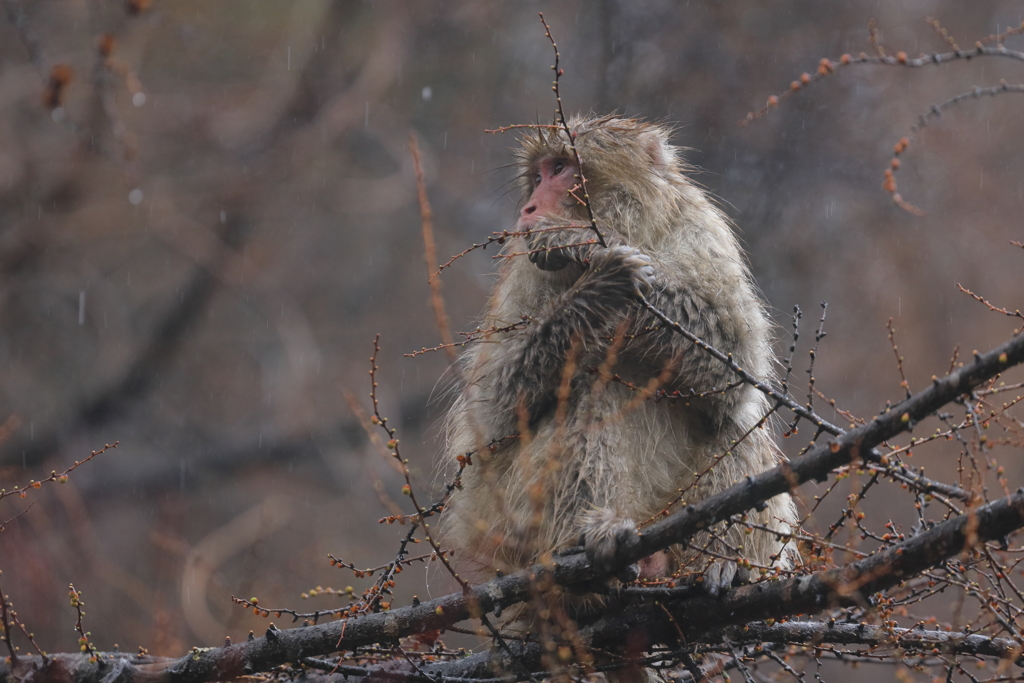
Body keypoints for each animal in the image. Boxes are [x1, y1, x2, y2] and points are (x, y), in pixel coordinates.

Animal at [440, 114, 798, 618]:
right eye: (538, 176)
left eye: (560, 168)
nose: (530, 207)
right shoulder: (525, 267)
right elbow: (493, 417)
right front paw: (593, 288)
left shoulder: (700, 227)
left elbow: (735, 361)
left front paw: (578, 240)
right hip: (508, 527)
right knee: (588, 391)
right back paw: (589, 551)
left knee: (731, 417)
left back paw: (722, 567)